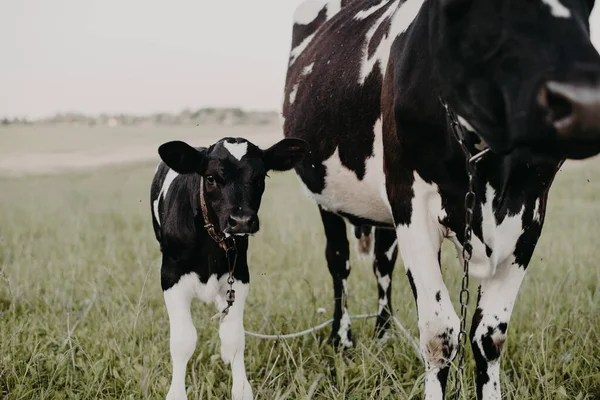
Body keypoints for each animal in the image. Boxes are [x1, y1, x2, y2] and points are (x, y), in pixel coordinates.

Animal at [150, 136, 310, 398]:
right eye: (211, 178)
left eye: (260, 177)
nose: (242, 221)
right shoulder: (170, 277)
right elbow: (183, 340)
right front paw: (176, 393)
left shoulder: (240, 275)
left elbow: (234, 337)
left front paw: (241, 389)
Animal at [284, 0, 600, 398]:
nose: (585, 104)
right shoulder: (411, 204)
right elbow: (439, 334)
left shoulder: (530, 214)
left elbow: (489, 336)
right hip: (327, 197)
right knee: (339, 264)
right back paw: (343, 340)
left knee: (382, 264)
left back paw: (384, 336)